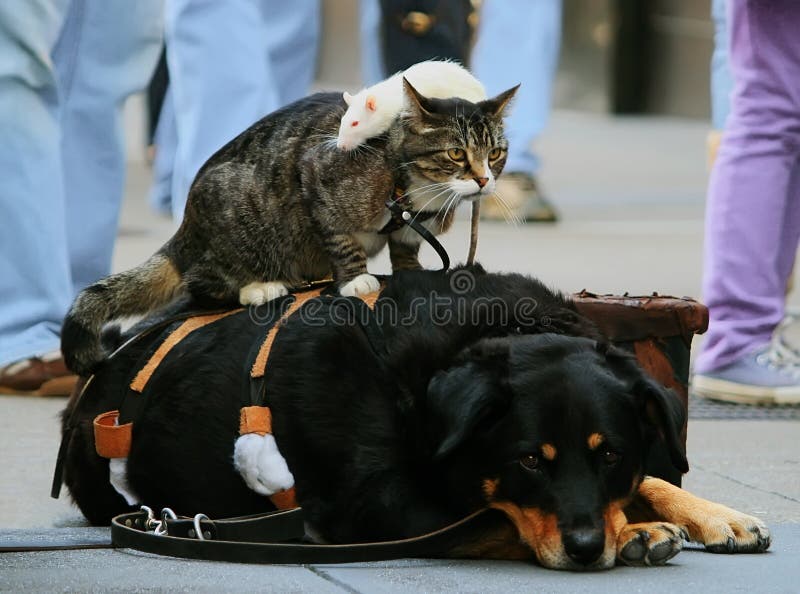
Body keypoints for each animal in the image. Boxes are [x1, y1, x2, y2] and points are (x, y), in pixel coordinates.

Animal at [62, 80, 520, 372]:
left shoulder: (410, 228)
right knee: (202, 283)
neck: (415, 188)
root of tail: (186, 230)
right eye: (456, 154)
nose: (484, 180)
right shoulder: (318, 177)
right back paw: (259, 286)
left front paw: (410, 271)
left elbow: (405, 248)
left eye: (495, 153)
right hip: (236, 218)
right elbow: (341, 239)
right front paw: (356, 278)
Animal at [62, 266, 768, 568]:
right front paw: (636, 532)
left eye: (611, 454)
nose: (588, 547)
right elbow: (490, 518)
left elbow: (652, 477)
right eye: (528, 460)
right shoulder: (382, 508)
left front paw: (713, 514)